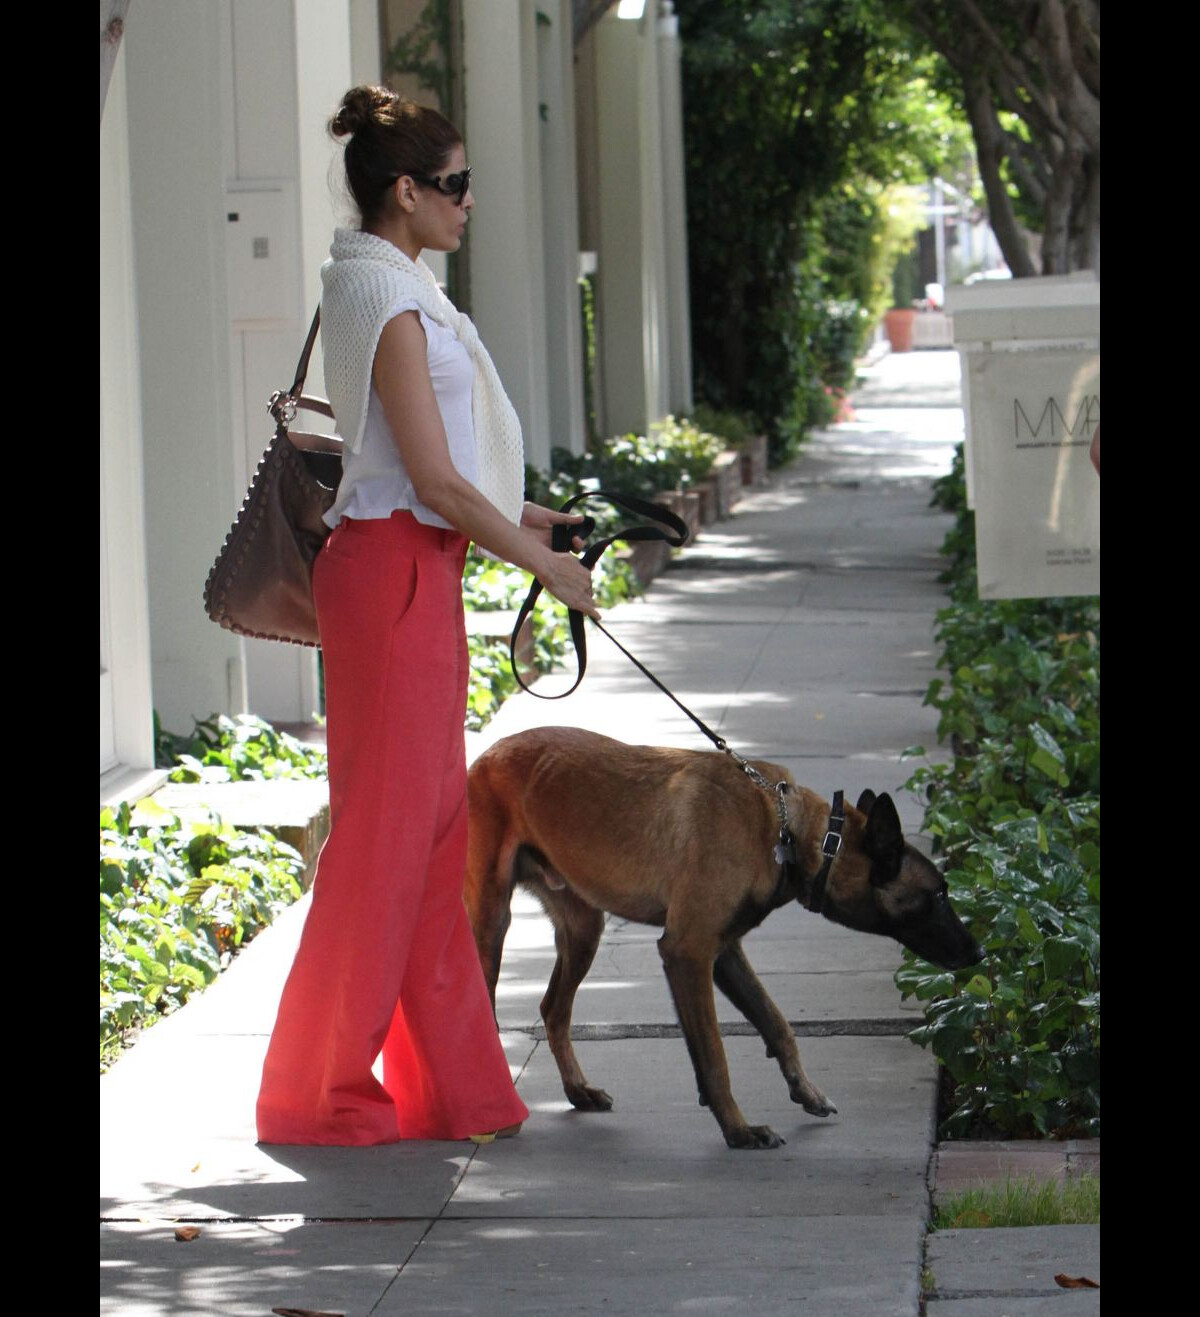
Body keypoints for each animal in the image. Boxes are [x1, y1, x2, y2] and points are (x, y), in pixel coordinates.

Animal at [463, 726, 980, 1148]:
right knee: (486, 1008)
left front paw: (805, 1090)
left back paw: (577, 1090)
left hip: (584, 929)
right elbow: (714, 1055)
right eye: (939, 893)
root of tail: (487, 753)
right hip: (491, 922)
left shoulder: (725, 952)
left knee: (554, 1008)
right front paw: (739, 1130)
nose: (977, 952)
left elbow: (775, 1022)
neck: (786, 831)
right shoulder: (688, 952)